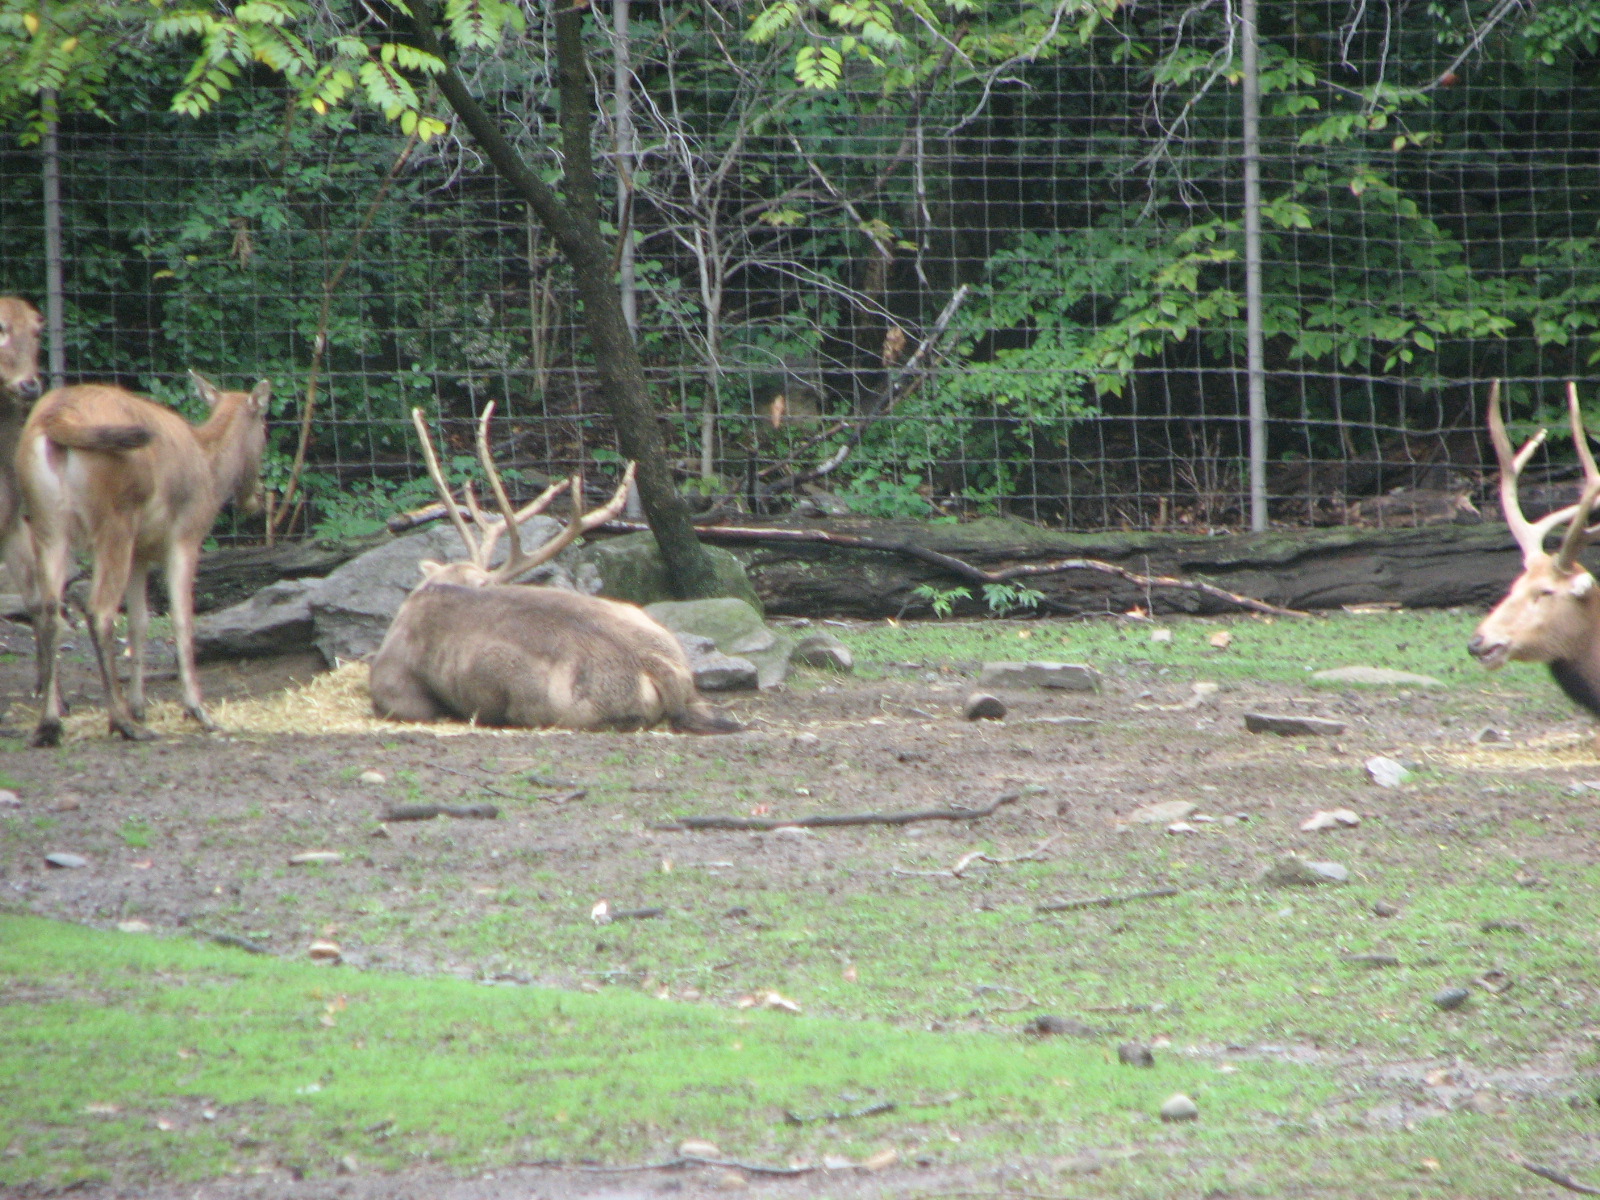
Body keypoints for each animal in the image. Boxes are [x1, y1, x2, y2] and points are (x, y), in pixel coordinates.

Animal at [17, 372, 271, 747]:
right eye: (265, 427)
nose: (258, 497)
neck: (212, 473)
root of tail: (55, 418)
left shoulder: (141, 552)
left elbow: (140, 623)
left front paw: (141, 705)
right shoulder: (184, 537)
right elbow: (182, 619)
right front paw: (198, 711)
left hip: (46, 524)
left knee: (49, 610)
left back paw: (50, 724)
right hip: (115, 521)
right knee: (99, 610)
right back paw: (122, 723)